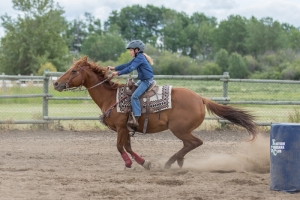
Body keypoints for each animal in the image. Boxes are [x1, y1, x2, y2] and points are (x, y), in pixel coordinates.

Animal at [53, 56, 255, 170]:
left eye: (74, 70)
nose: (56, 83)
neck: (111, 97)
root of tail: (200, 98)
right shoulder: (126, 129)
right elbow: (128, 147)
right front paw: (144, 163)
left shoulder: (121, 127)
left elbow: (120, 147)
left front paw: (129, 163)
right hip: (183, 131)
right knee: (189, 144)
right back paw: (177, 161)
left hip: (179, 129)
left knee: (195, 142)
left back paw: (170, 162)